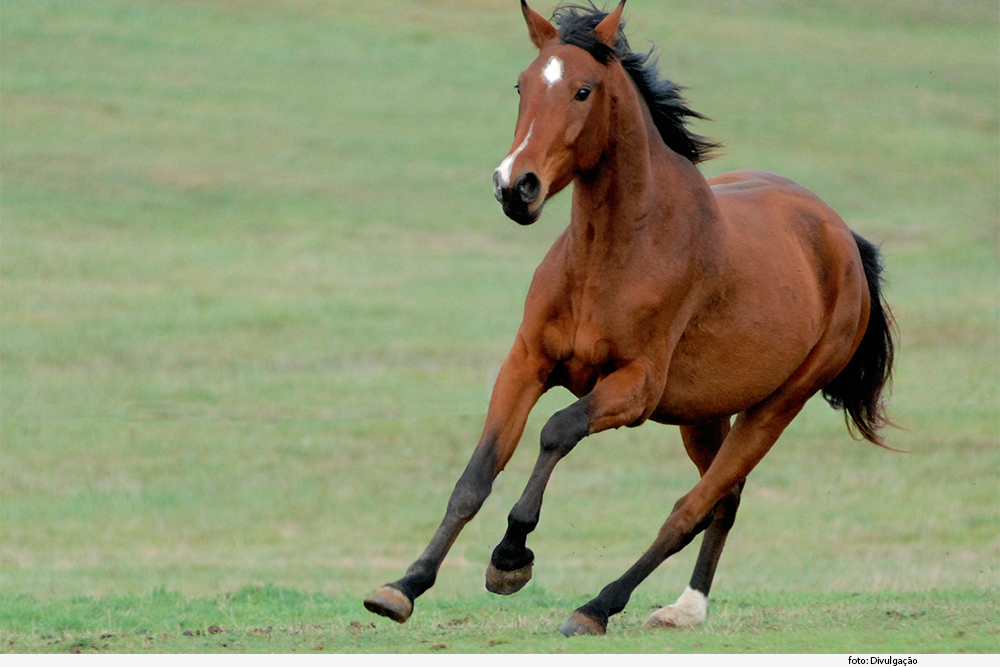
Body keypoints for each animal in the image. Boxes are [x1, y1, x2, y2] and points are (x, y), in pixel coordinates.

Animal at [364, 0, 896, 636]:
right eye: (521, 84)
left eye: (583, 90)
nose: (515, 187)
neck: (612, 256)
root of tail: (842, 238)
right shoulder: (526, 363)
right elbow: (475, 477)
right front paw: (403, 587)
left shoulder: (635, 389)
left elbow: (558, 430)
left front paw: (511, 557)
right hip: (705, 415)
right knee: (725, 499)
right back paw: (686, 608)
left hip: (776, 407)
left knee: (692, 508)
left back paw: (597, 607)